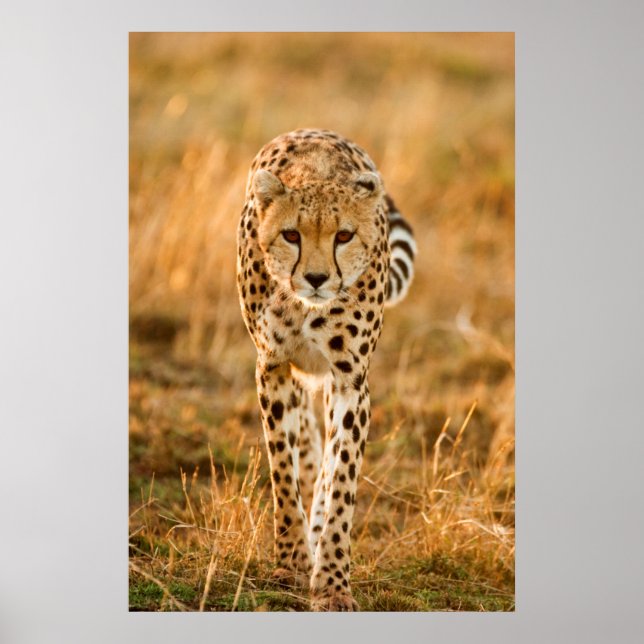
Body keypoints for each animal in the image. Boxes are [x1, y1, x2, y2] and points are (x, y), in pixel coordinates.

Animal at [236, 128, 416, 611]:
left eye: (344, 236)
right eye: (291, 235)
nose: (316, 278)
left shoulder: (350, 380)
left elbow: (341, 481)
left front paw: (333, 581)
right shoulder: (273, 367)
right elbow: (283, 470)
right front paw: (291, 562)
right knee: (307, 442)